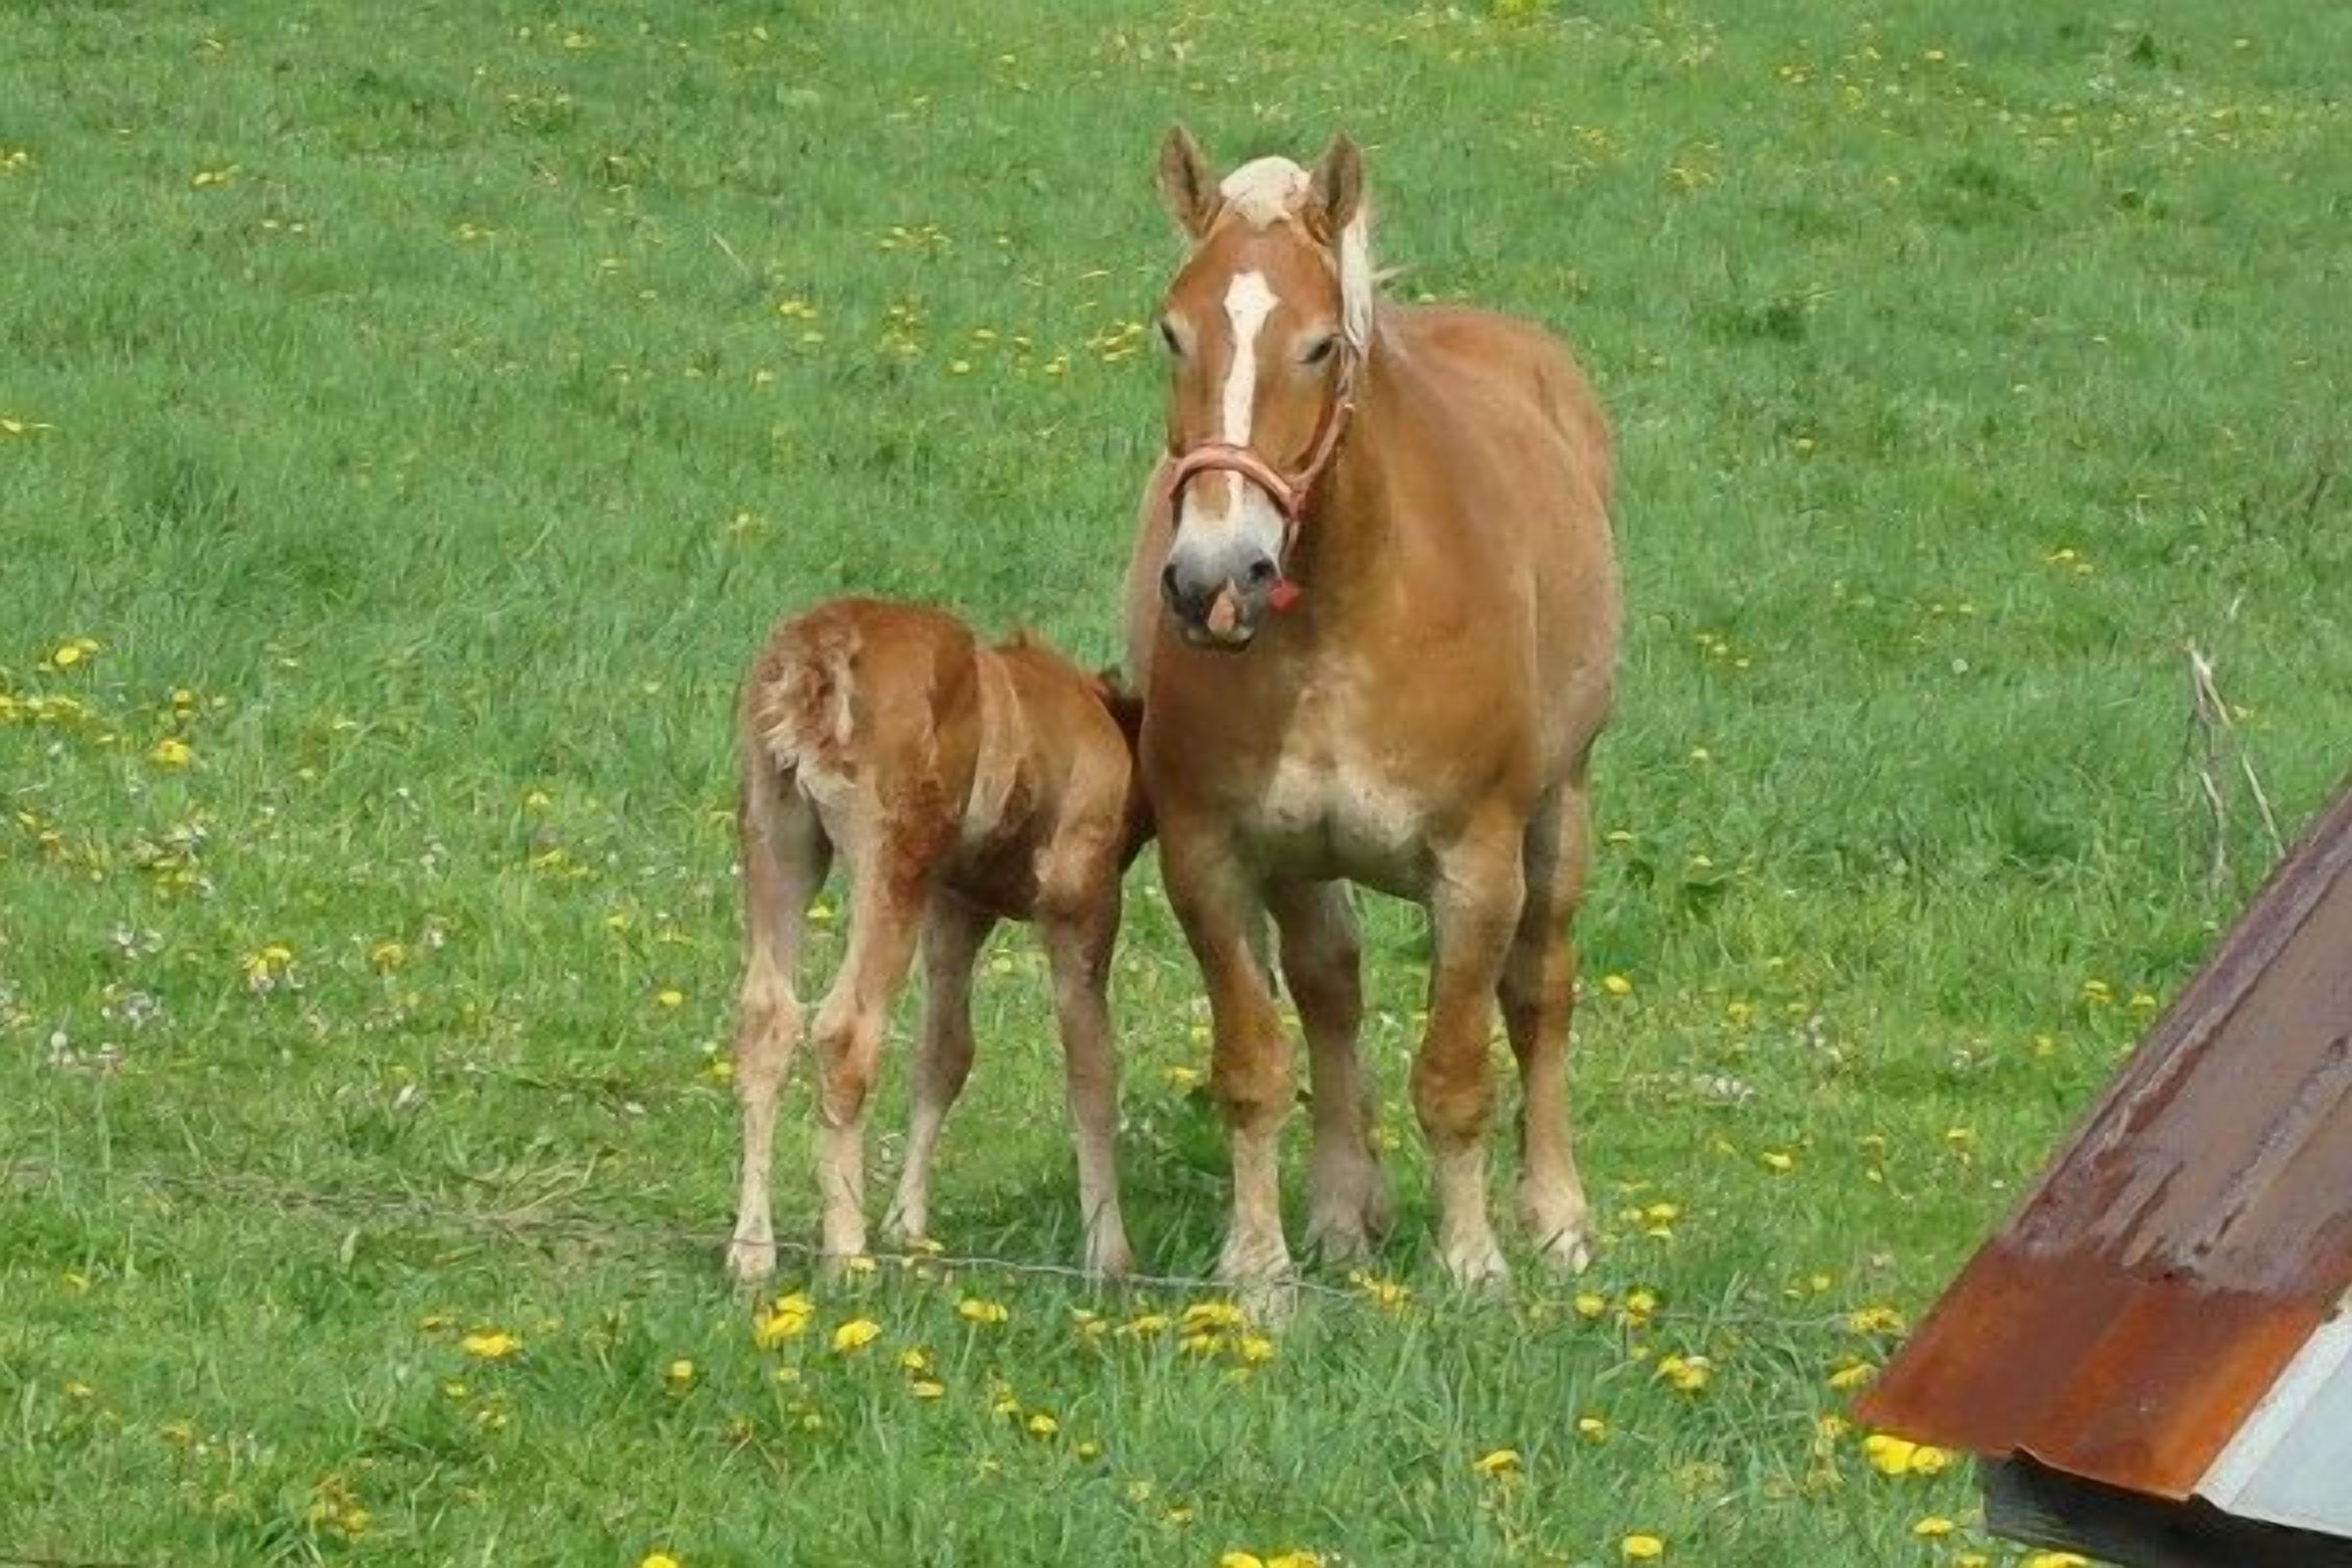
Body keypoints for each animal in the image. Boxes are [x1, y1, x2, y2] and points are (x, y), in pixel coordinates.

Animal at [1120, 127, 1620, 1292]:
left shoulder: (1476, 872)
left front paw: (1476, 1265)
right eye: (1171, 330)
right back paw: (1345, 1211)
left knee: (1542, 992)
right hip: (1307, 866)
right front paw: (1258, 1268)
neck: (1346, 619)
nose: (1215, 579)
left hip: (1559, 812)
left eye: (1316, 347)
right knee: (1331, 992)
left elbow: (1456, 1072)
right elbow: (1256, 1065)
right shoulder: (1215, 858)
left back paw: (1557, 1218)